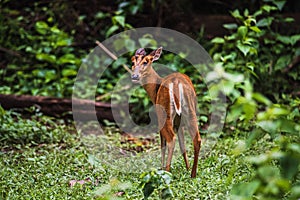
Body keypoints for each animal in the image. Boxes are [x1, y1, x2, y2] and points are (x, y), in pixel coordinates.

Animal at [131, 47, 202, 178]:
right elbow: (182, 144)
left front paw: (161, 168)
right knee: (197, 139)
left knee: (171, 139)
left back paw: (167, 172)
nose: (134, 76)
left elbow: (162, 144)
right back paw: (193, 174)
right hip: (190, 110)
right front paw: (187, 168)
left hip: (165, 112)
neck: (154, 91)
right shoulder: (179, 120)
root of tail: (177, 83)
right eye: (133, 61)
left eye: (146, 61)